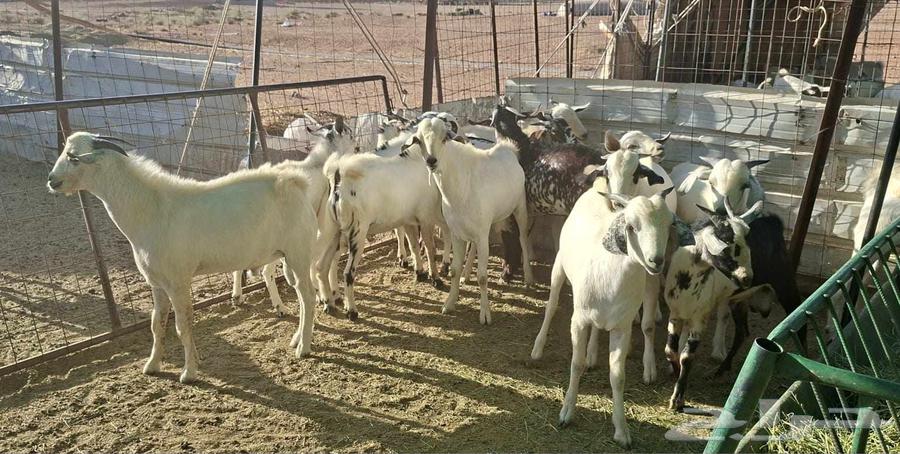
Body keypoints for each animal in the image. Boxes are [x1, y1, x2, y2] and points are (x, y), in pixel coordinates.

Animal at [47, 132, 319, 383]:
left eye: (73, 157)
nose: (51, 180)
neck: (151, 210)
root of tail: (295, 182)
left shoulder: (178, 281)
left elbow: (182, 325)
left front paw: (189, 373)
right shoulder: (156, 282)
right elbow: (157, 324)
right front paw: (152, 365)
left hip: (299, 252)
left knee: (308, 295)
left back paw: (304, 349)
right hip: (289, 255)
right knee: (301, 294)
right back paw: (297, 339)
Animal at [405, 115, 533, 325]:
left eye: (444, 139)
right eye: (419, 141)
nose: (432, 161)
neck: (459, 187)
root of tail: (507, 148)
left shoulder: (481, 232)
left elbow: (482, 277)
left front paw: (485, 314)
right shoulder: (458, 233)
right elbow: (455, 269)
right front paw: (449, 303)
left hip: (520, 206)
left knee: (522, 237)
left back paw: (529, 278)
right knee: (474, 246)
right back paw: (466, 275)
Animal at [532, 184, 674, 448]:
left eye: (669, 224)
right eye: (630, 226)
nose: (656, 261)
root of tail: (597, 188)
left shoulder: (622, 327)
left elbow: (617, 377)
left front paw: (622, 431)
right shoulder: (578, 320)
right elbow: (575, 364)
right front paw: (566, 413)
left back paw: (595, 354)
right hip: (559, 264)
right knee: (551, 305)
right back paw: (538, 349)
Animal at [663, 200, 774, 411]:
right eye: (729, 246)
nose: (747, 278)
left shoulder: (700, 319)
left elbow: (687, 356)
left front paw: (678, 399)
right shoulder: (675, 313)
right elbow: (670, 350)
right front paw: (675, 370)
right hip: (737, 300)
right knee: (742, 332)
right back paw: (721, 370)